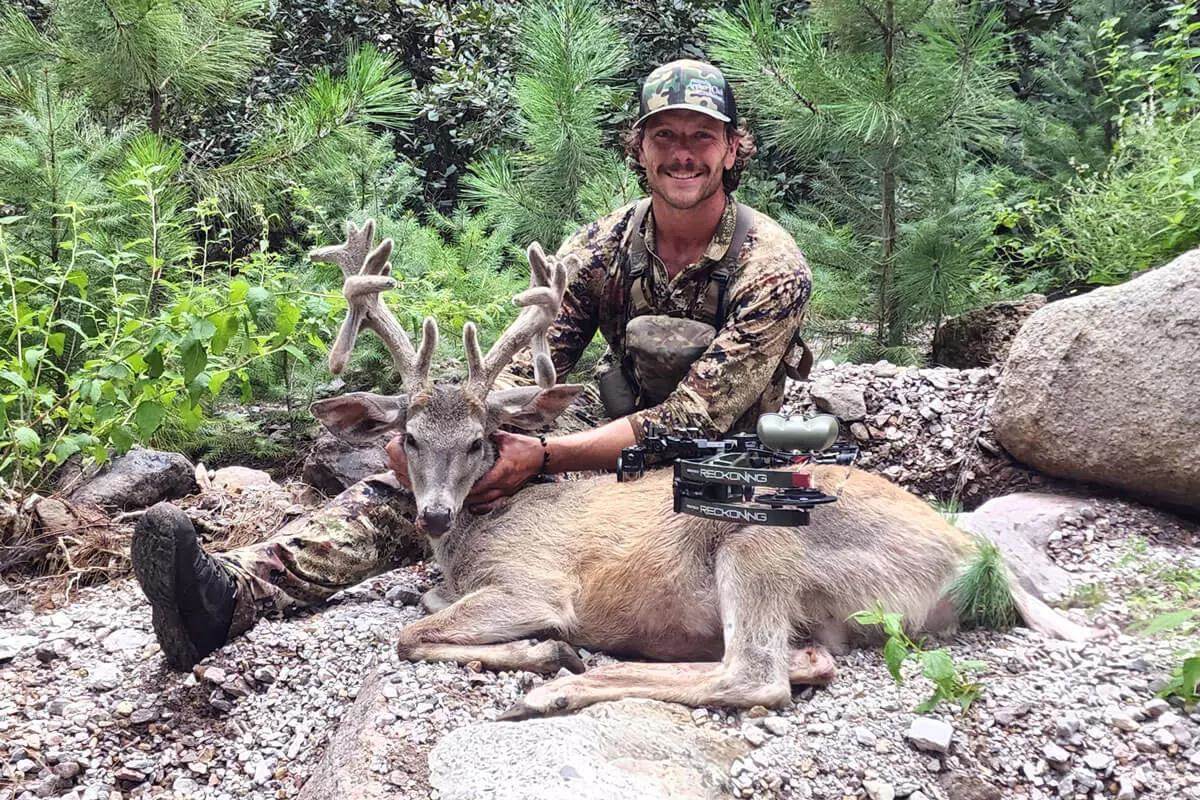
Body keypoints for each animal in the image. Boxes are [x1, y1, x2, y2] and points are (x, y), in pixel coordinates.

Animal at [308, 219, 1098, 720]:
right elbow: (422, 605)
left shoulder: (531, 583)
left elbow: (412, 634)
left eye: (481, 442)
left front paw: (543, 649)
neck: (471, 544)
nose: (435, 512)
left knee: (757, 677)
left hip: (759, 537)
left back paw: (558, 686)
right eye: (408, 438)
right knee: (806, 660)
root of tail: (972, 555)